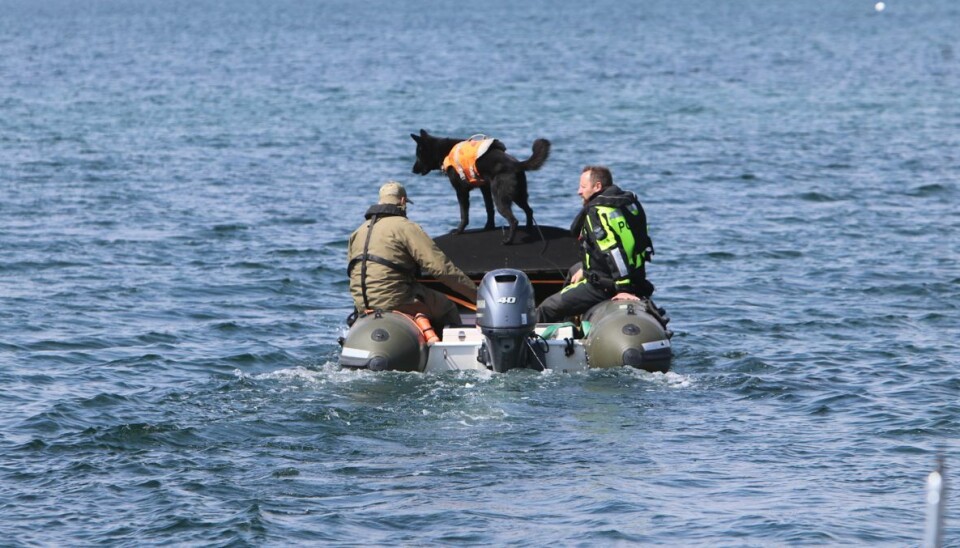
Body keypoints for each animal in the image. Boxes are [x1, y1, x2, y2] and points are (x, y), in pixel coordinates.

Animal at [408, 129, 552, 244]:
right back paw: (529, 228)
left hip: (501, 198)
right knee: (529, 210)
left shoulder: (461, 192)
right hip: (518, 195)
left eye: (418, 155)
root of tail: (516, 164)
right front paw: (489, 226)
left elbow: (464, 214)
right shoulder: (485, 188)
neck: (444, 151)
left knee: (514, 220)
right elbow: (489, 209)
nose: (412, 170)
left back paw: (509, 241)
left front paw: (459, 230)